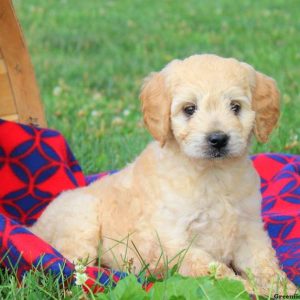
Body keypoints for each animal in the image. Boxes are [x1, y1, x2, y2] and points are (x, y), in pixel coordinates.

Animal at [29, 54, 296, 296]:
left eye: (235, 107)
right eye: (189, 109)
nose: (218, 139)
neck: (213, 173)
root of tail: (35, 227)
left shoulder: (249, 229)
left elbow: (264, 263)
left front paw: (282, 286)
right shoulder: (176, 240)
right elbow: (218, 273)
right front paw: (248, 289)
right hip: (79, 224)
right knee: (73, 265)